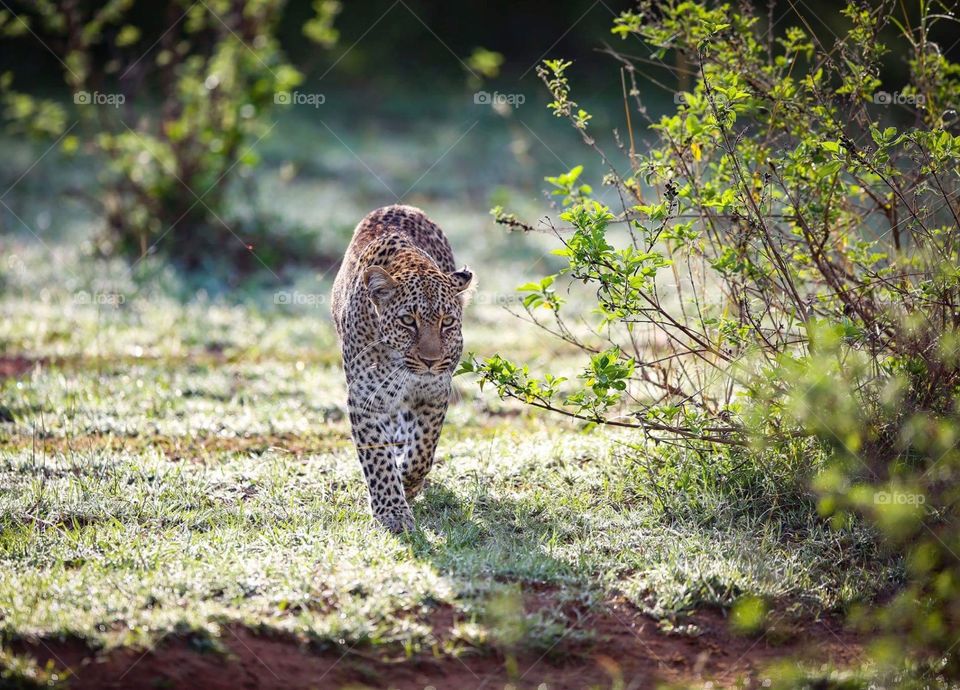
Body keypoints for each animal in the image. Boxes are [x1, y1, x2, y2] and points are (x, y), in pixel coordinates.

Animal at [331, 205, 474, 533]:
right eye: (408, 321)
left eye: (447, 322)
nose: (431, 360)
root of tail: (401, 206)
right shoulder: (366, 398)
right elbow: (378, 460)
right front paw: (393, 513)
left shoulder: (434, 391)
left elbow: (423, 450)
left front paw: (408, 484)